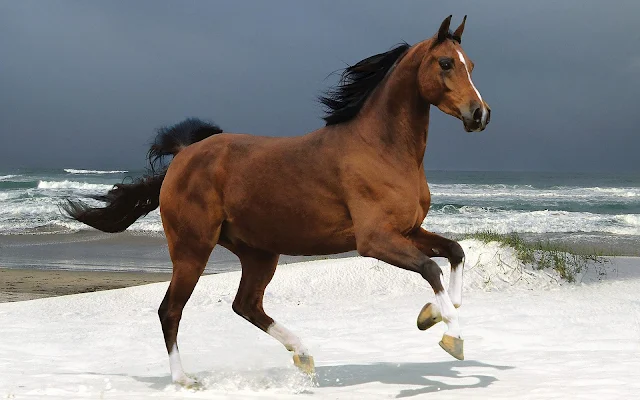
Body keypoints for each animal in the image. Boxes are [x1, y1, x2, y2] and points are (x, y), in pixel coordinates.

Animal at [63, 16, 490, 388]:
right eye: (446, 63)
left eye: (470, 65)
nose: (480, 114)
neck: (382, 149)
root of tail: (184, 155)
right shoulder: (375, 241)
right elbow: (430, 269)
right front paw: (452, 337)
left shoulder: (408, 230)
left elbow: (454, 252)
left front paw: (432, 315)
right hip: (192, 249)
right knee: (171, 310)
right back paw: (184, 380)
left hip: (258, 253)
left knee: (245, 305)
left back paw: (303, 355)